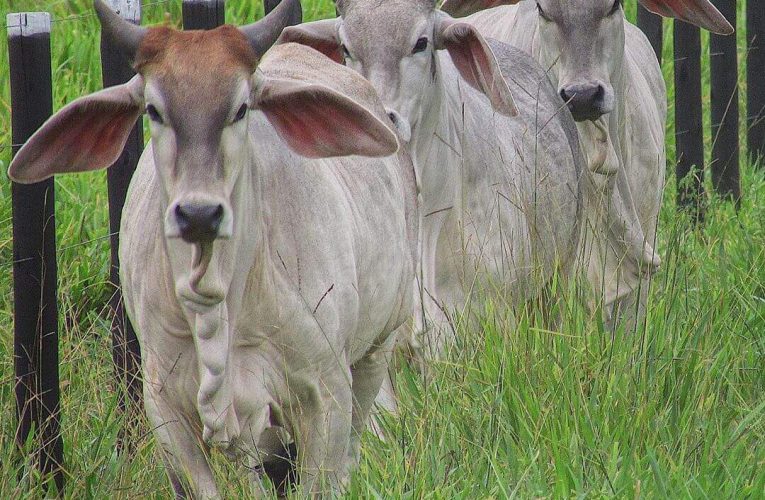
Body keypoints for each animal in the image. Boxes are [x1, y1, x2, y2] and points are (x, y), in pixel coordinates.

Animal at [7, 0, 418, 496]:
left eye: (241, 109)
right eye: (153, 110)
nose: (199, 214)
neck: (217, 305)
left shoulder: (325, 392)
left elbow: (323, 479)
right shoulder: (165, 409)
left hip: (377, 348)